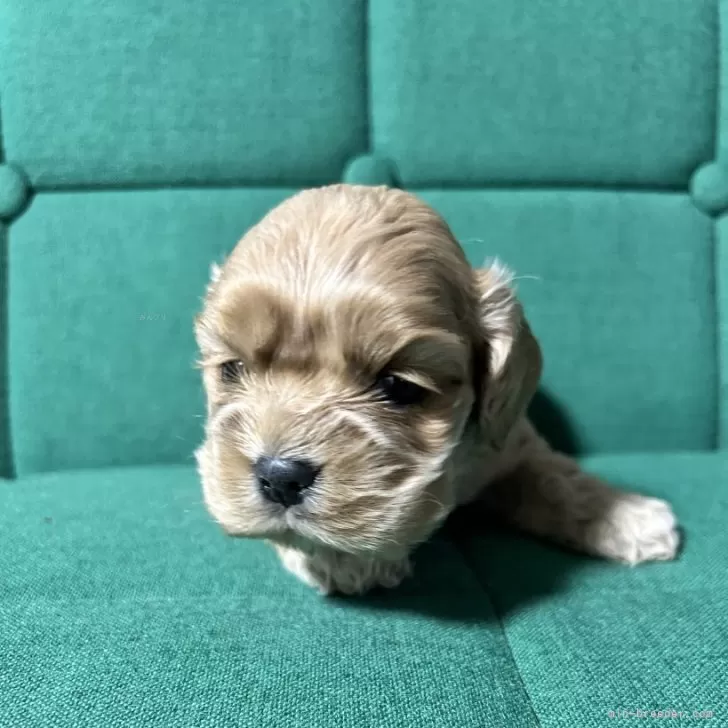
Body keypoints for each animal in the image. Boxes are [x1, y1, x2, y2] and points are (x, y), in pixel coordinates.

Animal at [195, 185, 684, 596]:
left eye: (399, 386)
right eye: (233, 369)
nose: (280, 476)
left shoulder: (510, 442)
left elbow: (557, 477)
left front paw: (626, 515)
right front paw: (342, 558)